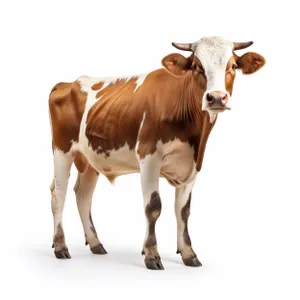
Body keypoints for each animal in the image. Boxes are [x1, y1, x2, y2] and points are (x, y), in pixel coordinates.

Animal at [48, 35, 264, 270]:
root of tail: (66, 83)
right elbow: (153, 206)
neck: (194, 133)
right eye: (196, 66)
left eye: (232, 66)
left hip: (91, 158)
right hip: (62, 149)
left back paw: (96, 243)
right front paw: (152, 254)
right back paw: (60, 246)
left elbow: (183, 211)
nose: (216, 98)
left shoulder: (193, 164)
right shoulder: (149, 156)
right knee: (59, 194)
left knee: (83, 195)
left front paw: (188, 253)